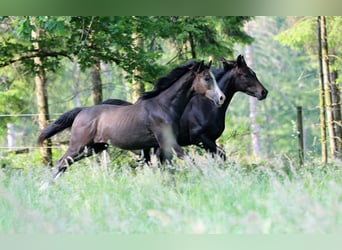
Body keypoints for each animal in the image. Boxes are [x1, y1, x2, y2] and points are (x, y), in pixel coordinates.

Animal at [39, 60, 224, 180]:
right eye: (207, 78)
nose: (221, 98)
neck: (164, 106)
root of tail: (82, 111)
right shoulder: (169, 142)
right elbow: (188, 160)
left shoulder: (162, 146)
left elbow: (168, 167)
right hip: (78, 145)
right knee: (61, 162)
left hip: (94, 148)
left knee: (65, 164)